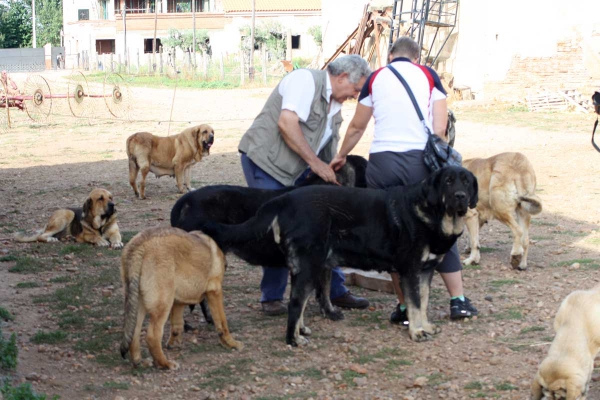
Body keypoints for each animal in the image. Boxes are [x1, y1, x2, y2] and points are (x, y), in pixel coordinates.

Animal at [119, 227, 241, 370]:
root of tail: (138, 245)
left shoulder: (178, 301)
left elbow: (177, 323)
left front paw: (174, 343)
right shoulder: (214, 292)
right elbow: (222, 322)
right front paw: (230, 343)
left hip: (138, 304)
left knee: (134, 333)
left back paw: (139, 361)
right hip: (163, 304)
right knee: (152, 336)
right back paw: (164, 364)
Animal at [200, 166, 478, 346]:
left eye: (466, 182)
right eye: (448, 181)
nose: (461, 197)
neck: (433, 214)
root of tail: (284, 199)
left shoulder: (426, 271)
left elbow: (424, 302)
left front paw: (425, 326)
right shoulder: (409, 271)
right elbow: (415, 304)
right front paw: (417, 333)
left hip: (308, 267)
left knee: (299, 303)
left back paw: (301, 331)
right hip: (310, 266)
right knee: (295, 303)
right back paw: (293, 340)